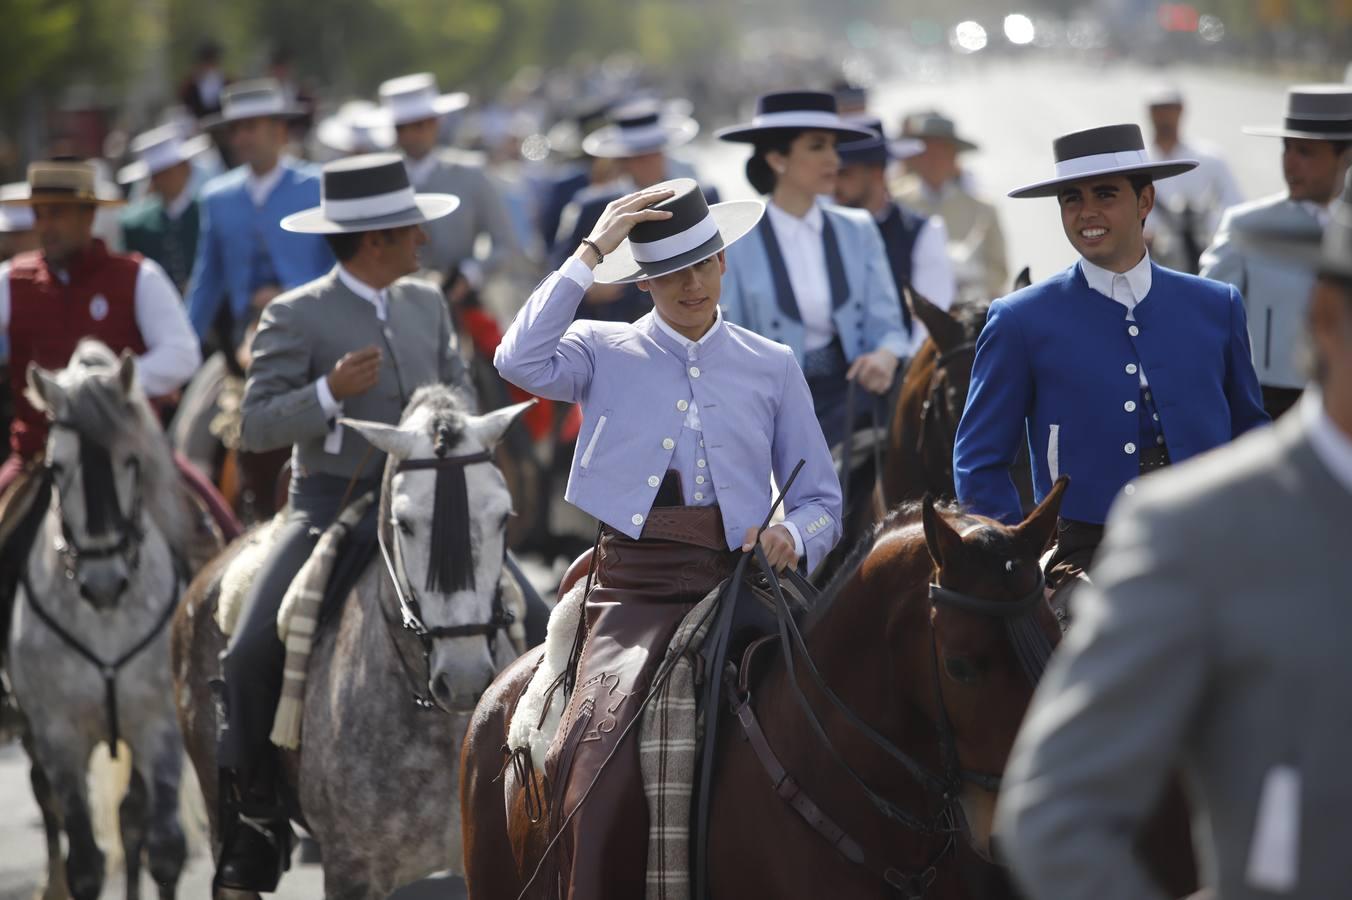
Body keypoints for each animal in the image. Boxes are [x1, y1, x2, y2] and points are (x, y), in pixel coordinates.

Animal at [10, 340, 194, 891]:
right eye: (56, 468)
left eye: (130, 461)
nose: (103, 582)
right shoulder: (58, 735)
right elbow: (85, 861)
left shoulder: (160, 726)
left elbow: (165, 849)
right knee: (49, 802)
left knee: (132, 818)